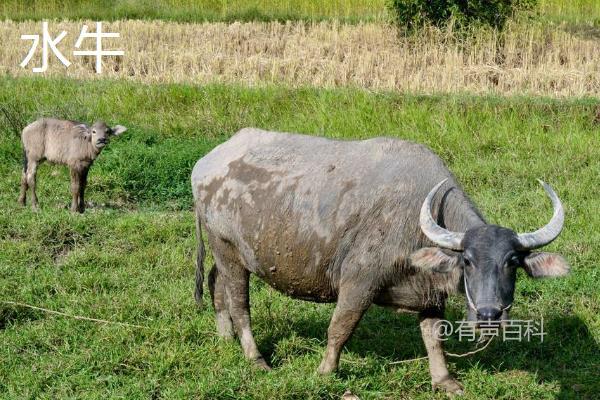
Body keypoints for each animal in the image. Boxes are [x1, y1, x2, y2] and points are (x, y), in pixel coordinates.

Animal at [191, 128, 568, 394]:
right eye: (468, 261)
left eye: (512, 262)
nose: (490, 316)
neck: (417, 219)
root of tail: (207, 163)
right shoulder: (359, 281)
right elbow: (340, 328)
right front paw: (325, 372)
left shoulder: (430, 294)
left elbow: (433, 336)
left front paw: (444, 380)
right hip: (227, 249)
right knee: (239, 303)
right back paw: (256, 358)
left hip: (224, 252)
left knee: (216, 285)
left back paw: (225, 338)